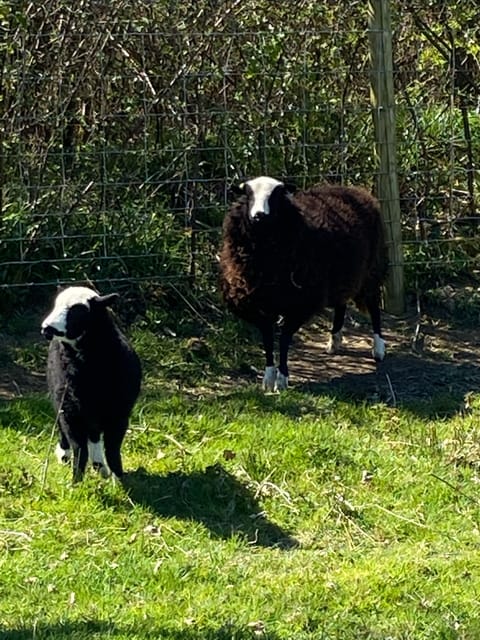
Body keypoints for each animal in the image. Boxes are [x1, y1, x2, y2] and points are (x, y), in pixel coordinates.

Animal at [41, 286, 142, 482]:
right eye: (56, 305)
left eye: (78, 311)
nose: (47, 328)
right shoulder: (70, 411)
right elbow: (79, 448)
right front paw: (76, 481)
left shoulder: (119, 414)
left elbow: (112, 448)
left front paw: (118, 478)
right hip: (62, 402)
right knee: (68, 431)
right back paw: (66, 455)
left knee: (94, 435)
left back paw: (100, 466)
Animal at [219, 176, 388, 391]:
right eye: (248, 194)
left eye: (276, 195)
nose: (259, 216)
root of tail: (354, 190)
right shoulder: (258, 304)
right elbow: (267, 339)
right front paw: (268, 378)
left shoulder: (299, 304)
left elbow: (283, 340)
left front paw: (282, 379)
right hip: (341, 276)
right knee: (341, 304)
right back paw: (334, 341)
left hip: (370, 271)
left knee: (374, 306)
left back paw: (378, 348)